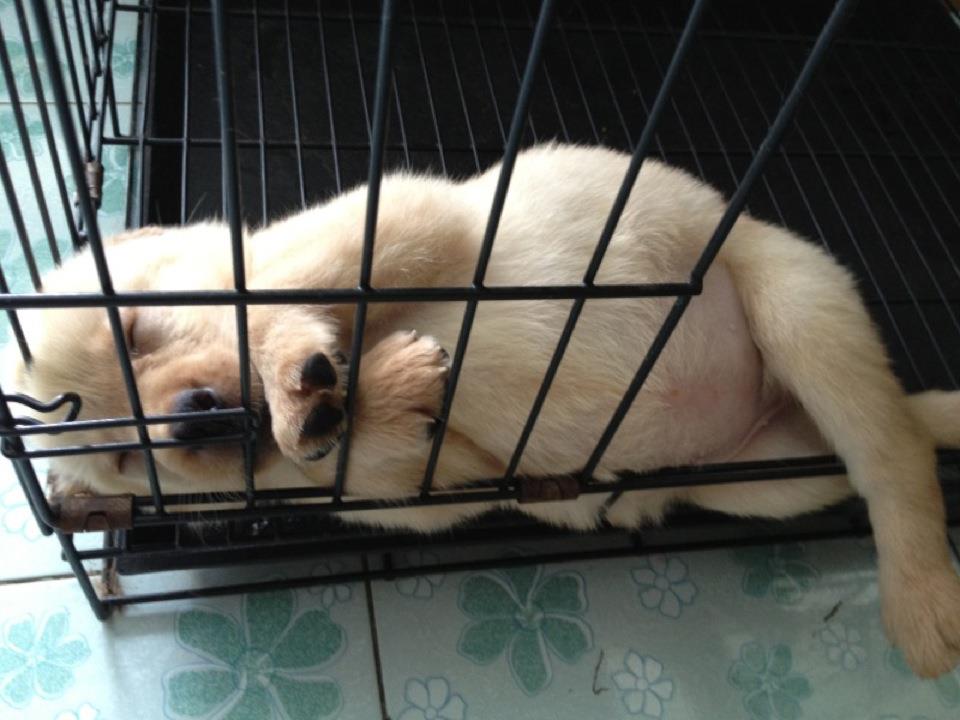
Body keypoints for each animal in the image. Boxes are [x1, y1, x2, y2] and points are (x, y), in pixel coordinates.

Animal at [9, 144, 960, 677]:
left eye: (135, 327)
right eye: (126, 458)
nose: (196, 418)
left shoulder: (407, 214)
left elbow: (292, 287)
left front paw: (289, 367)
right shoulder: (419, 484)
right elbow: (377, 453)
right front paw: (373, 391)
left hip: (795, 304)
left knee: (895, 461)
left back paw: (926, 608)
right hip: (760, 479)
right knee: (887, 443)